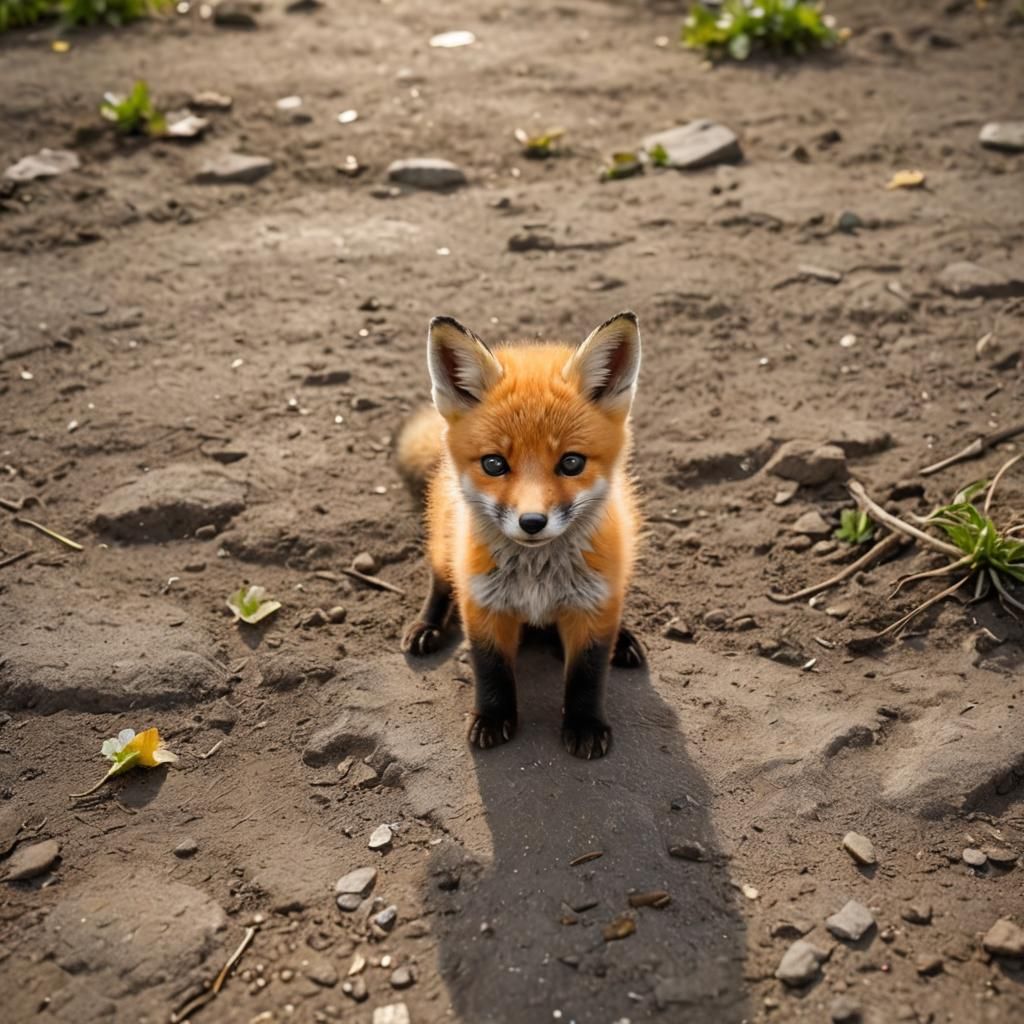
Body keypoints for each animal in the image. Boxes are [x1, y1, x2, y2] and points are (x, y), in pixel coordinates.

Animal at [397, 311, 645, 759]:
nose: (532, 522)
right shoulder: (482, 602)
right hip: (445, 547)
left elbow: (587, 674)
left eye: (571, 462)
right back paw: (427, 626)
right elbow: (491, 669)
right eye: (494, 464)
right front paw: (493, 718)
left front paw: (584, 724)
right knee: (440, 582)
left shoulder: (594, 604)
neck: (537, 579)